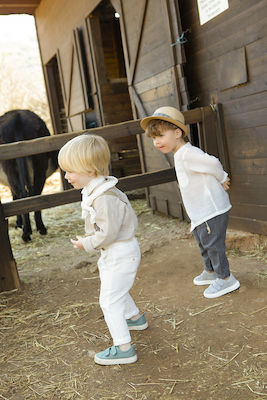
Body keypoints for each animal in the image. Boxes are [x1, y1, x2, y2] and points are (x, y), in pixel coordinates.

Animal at [0, 109, 58, 241]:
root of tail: (17, 119)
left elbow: (14, 197)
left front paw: (18, 224)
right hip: (40, 167)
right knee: (35, 196)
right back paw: (40, 228)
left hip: (11, 170)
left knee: (22, 195)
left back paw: (26, 233)